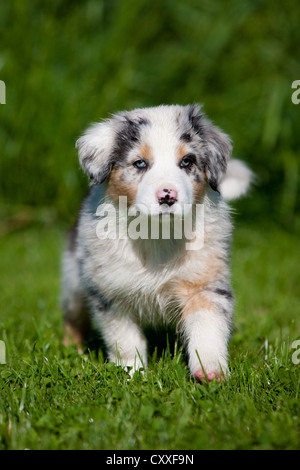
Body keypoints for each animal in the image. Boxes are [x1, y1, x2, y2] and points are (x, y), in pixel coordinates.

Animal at [60, 104, 251, 384]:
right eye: (140, 163)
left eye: (187, 162)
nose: (167, 195)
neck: (156, 233)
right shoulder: (111, 292)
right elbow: (125, 339)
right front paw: (131, 372)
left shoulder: (205, 283)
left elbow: (207, 327)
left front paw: (210, 370)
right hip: (74, 278)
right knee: (73, 315)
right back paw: (69, 348)